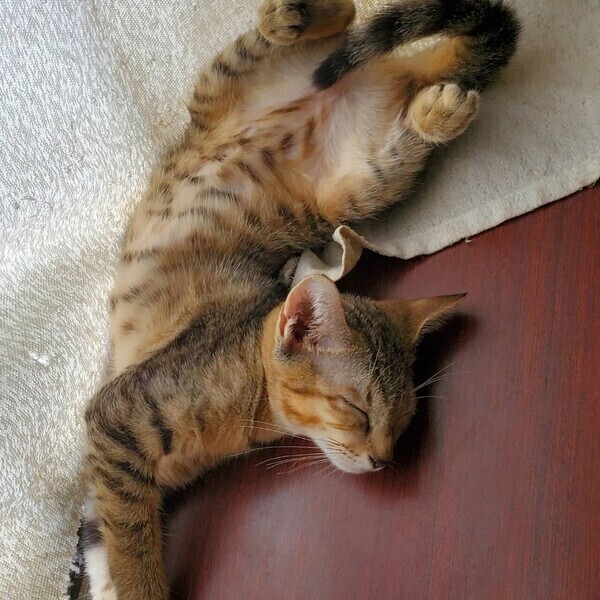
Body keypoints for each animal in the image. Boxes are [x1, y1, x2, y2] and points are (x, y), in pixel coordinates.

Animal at [79, 0, 520, 598]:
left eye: (403, 420)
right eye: (356, 409)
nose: (383, 460)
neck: (249, 398)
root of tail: (376, 78)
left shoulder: (116, 440)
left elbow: (112, 538)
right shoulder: (116, 421)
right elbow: (121, 540)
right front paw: (132, 581)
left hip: (361, 187)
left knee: (358, 30)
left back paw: (437, 108)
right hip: (234, 87)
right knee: (336, 22)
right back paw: (290, 19)